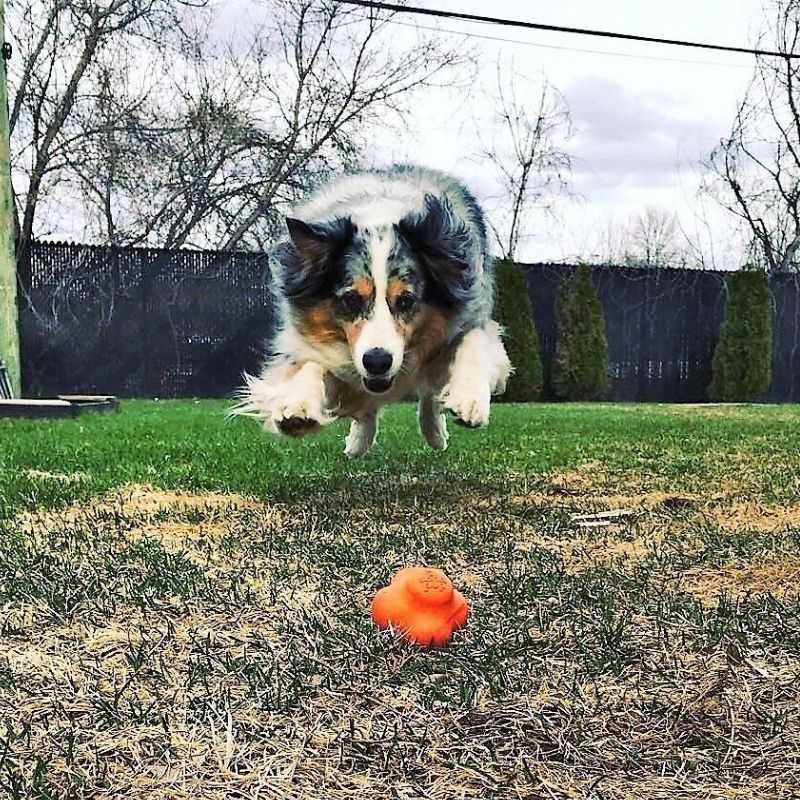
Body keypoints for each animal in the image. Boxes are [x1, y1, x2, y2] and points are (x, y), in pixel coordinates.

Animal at [236, 164, 512, 456]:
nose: (377, 362)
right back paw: (358, 443)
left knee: (427, 394)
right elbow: (311, 363)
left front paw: (470, 400)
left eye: (406, 300)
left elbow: (474, 340)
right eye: (351, 300)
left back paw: (435, 435)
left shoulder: (472, 312)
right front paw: (297, 405)